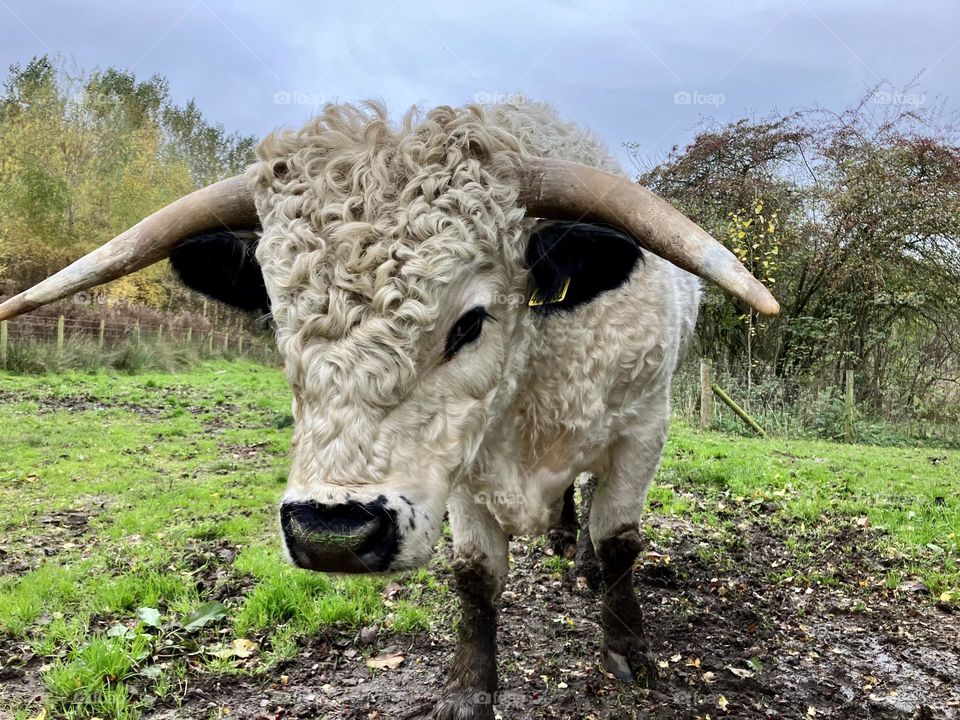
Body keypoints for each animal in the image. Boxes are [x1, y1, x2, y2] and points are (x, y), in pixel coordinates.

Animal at [0, 100, 778, 719]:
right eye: (277, 317)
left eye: (470, 322)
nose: (332, 534)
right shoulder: (459, 468)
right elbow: (476, 574)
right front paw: (469, 686)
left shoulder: (643, 428)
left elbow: (620, 542)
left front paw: (630, 653)